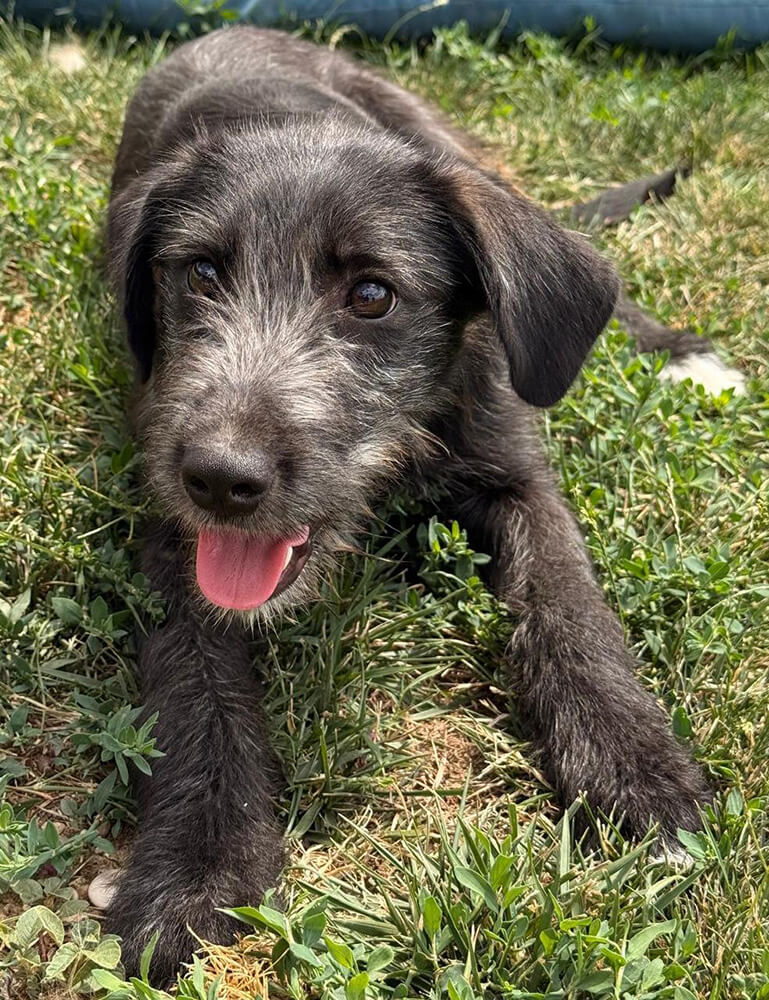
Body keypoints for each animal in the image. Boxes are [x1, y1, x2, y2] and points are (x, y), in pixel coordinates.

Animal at [104, 25, 737, 983]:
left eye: (372, 295)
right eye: (202, 274)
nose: (219, 476)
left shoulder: (518, 475)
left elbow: (571, 610)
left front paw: (638, 771)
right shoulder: (169, 521)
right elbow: (194, 685)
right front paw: (197, 863)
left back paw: (678, 353)